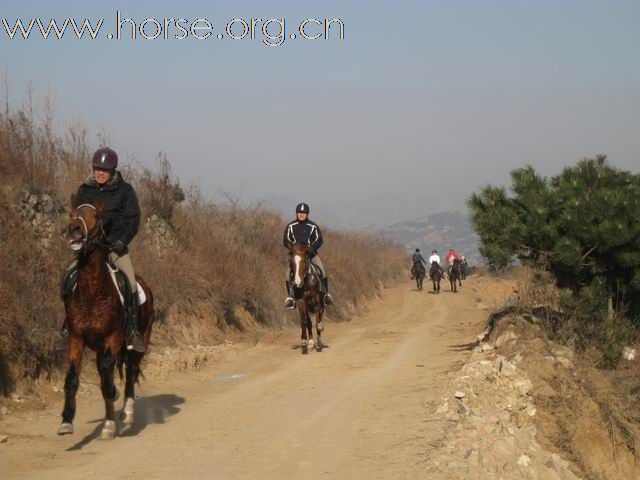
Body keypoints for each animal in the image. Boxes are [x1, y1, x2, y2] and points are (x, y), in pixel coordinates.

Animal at [58, 195, 156, 438]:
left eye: (95, 215)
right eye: (72, 213)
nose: (74, 231)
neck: (92, 292)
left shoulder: (114, 338)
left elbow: (107, 378)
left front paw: (111, 418)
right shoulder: (76, 338)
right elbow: (72, 378)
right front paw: (66, 421)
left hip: (141, 339)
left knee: (131, 370)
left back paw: (126, 411)